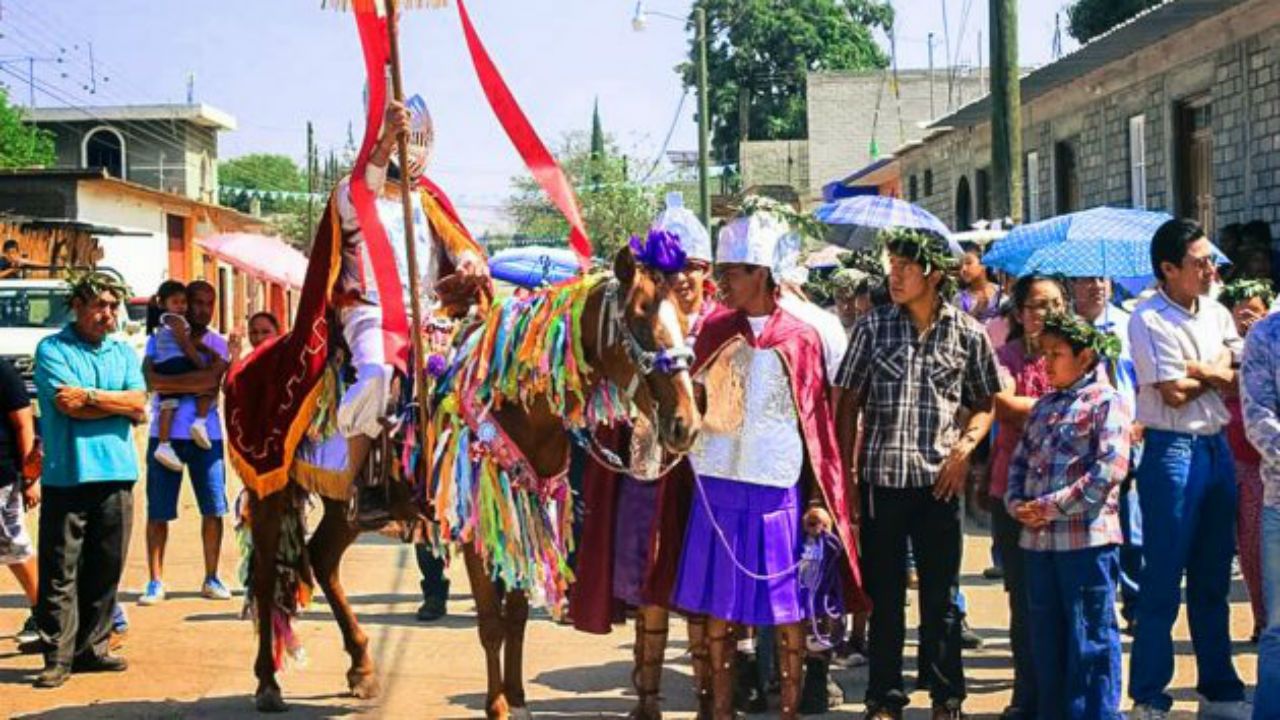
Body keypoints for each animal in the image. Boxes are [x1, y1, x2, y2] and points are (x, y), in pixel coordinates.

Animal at [243, 244, 696, 712]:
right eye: (640, 318)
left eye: (685, 319)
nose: (686, 424)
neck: (515, 403)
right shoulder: (474, 526)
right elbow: (492, 623)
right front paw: (497, 706)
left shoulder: (523, 510)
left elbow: (516, 616)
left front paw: (516, 696)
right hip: (268, 490)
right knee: (264, 575)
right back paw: (268, 684)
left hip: (343, 507)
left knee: (322, 559)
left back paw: (362, 668)